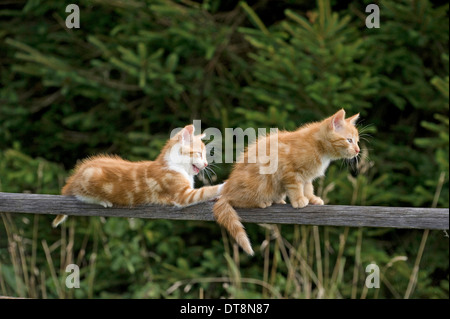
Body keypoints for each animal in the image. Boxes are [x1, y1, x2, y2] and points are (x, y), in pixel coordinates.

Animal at [51, 124, 224, 228]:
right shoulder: (182, 195)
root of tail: (77, 174)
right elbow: (204, 191)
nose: (206, 164)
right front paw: (223, 187)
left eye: (205, 156)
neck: (175, 166)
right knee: (80, 195)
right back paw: (103, 200)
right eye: (199, 154)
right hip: (89, 179)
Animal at [214, 109, 362, 255]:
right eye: (349, 140)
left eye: (357, 141)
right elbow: (295, 187)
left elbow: (308, 187)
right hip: (256, 184)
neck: (318, 146)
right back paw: (261, 202)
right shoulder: (290, 170)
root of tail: (227, 188)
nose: (358, 150)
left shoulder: (307, 176)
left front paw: (312, 199)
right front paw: (299, 200)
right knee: (235, 200)